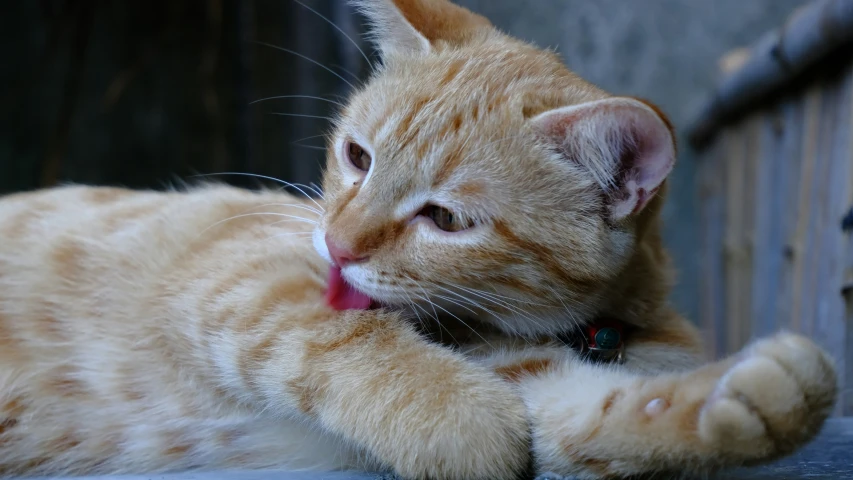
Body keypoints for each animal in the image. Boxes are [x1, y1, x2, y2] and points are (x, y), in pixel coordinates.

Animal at [0, 0, 836, 480]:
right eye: (357, 156)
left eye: (447, 220)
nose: (337, 245)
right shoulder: (235, 266)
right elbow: (338, 334)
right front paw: (459, 423)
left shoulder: (533, 374)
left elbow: (596, 415)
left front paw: (749, 399)